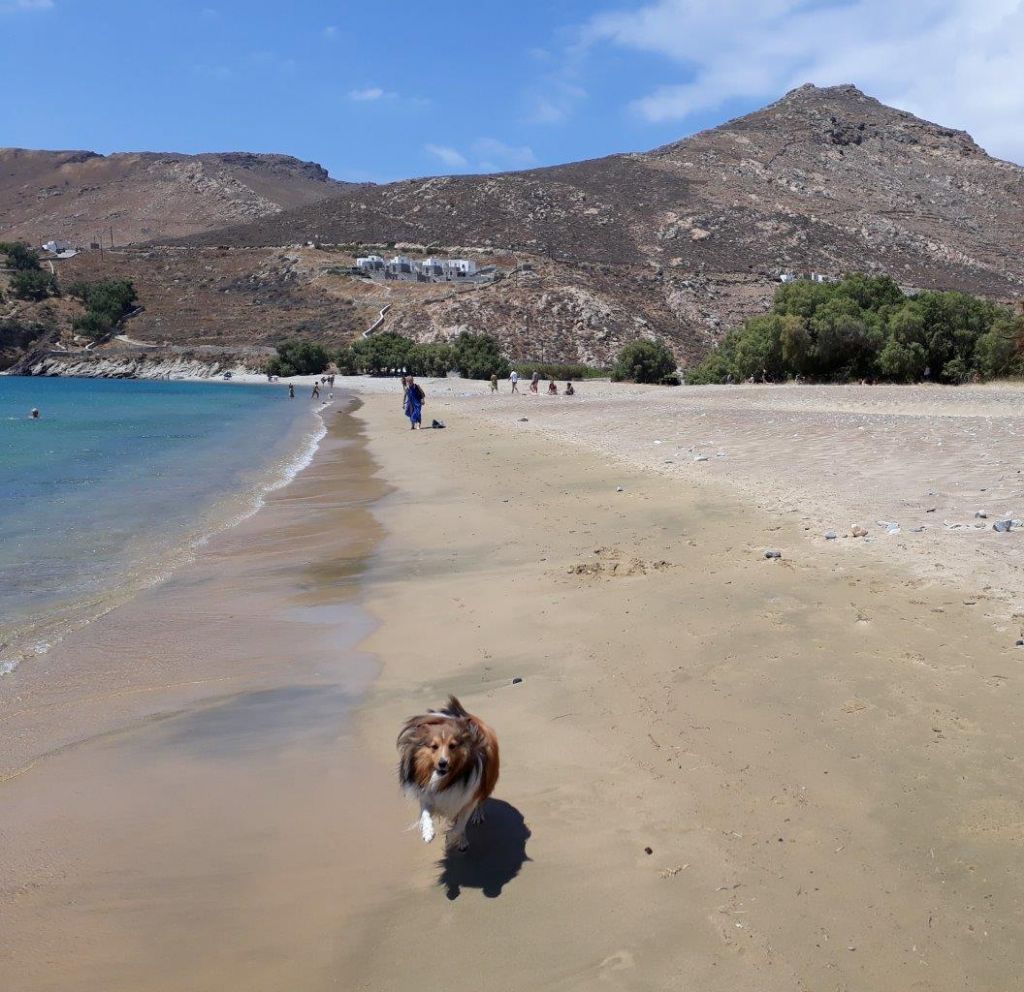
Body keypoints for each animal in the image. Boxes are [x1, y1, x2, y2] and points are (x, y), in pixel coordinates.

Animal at [395, 692, 499, 847]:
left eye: (452, 746)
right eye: (434, 746)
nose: (443, 763)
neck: (446, 781)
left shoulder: (468, 799)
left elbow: (459, 826)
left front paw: (453, 838)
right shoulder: (427, 795)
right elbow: (425, 814)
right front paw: (427, 833)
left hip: (488, 779)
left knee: (481, 799)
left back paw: (476, 817)